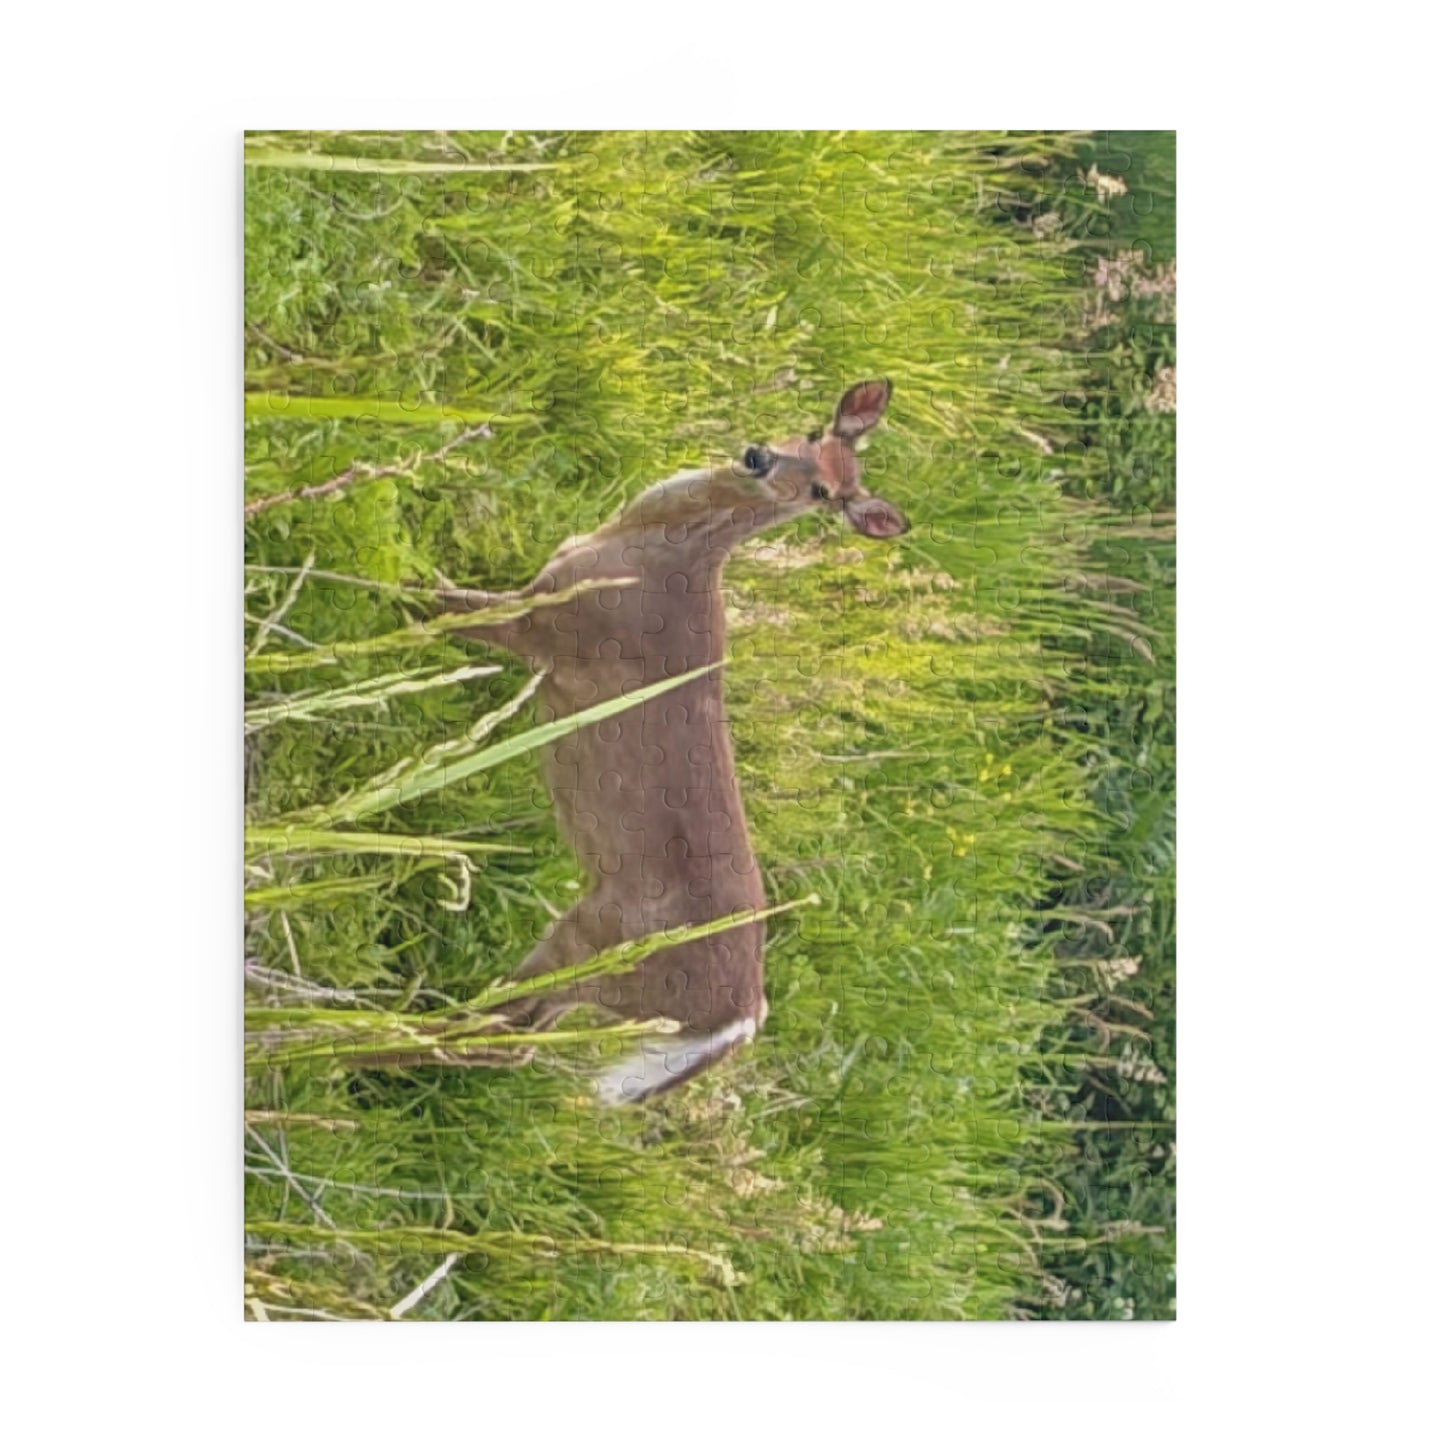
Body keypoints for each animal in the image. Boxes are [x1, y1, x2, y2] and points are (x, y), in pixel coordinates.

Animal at [438, 380, 909, 1104]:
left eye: (824, 495)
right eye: (811, 432)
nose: (758, 457)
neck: (653, 552)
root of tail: (737, 1020)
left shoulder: (548, 625)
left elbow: (436, 604)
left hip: (601, 944)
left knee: (502, 1029)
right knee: (519, 1034)